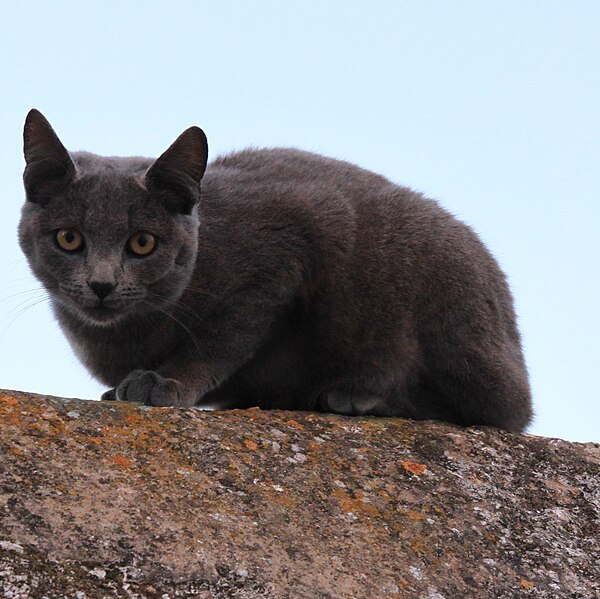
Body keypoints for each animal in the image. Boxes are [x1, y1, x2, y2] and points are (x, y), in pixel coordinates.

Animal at [19, 110, 536, 432]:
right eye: (69, 239)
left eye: (142, 243)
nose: (102, 284)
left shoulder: (291, 245)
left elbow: (220, 339)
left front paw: (163, 384)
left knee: (503, 410)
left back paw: (353, 396)